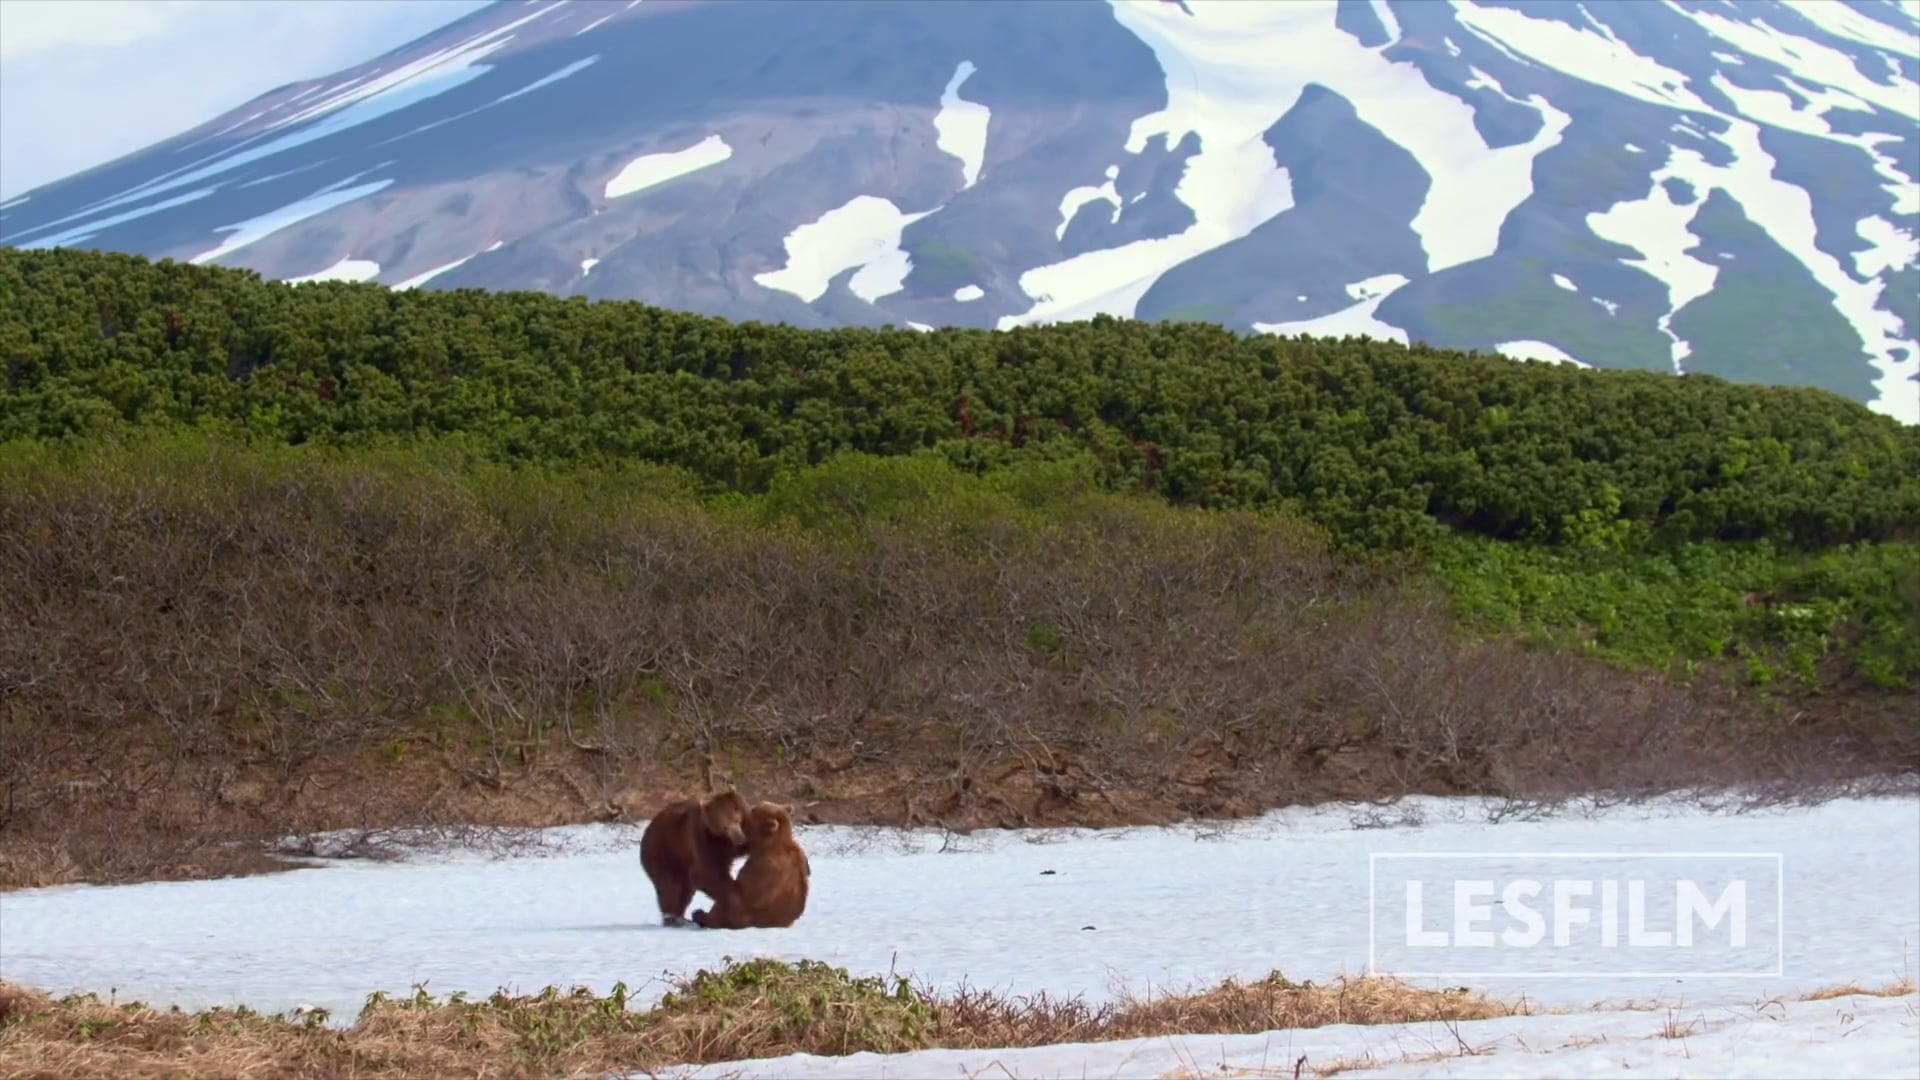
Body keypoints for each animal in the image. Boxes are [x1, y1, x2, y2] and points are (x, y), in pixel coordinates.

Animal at [637, 780, 741, 926]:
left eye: (736, 819)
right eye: (724, 827)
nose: (739, 838)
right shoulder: (702, 839)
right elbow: (707, 873)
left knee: (685, 889)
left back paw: (681, 917)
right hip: (663, 852)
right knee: (671, 886)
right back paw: (672, 918)